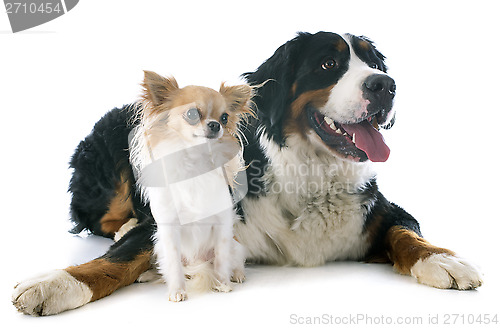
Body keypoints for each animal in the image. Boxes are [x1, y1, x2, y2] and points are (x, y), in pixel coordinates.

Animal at [10, 30, 480, 316]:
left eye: (374, 63)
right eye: (328, 65)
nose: (385, 86)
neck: (310, 175)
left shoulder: (381, 210)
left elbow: (406, 234)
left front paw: (442, 259)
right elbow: (114, 260)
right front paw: (53, 284)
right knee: (101, 219)